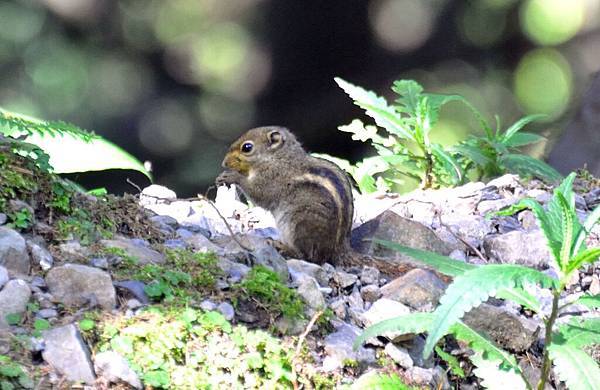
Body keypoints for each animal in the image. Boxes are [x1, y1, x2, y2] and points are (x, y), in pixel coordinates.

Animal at [213, 126, 414, 276]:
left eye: (247, 147)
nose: (224, 163)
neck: (278, 158)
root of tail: (339, 248)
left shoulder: (271, 179)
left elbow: (259, 194)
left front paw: (232, 176)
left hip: (299, 224)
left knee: (309, 257)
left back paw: (283, 247)